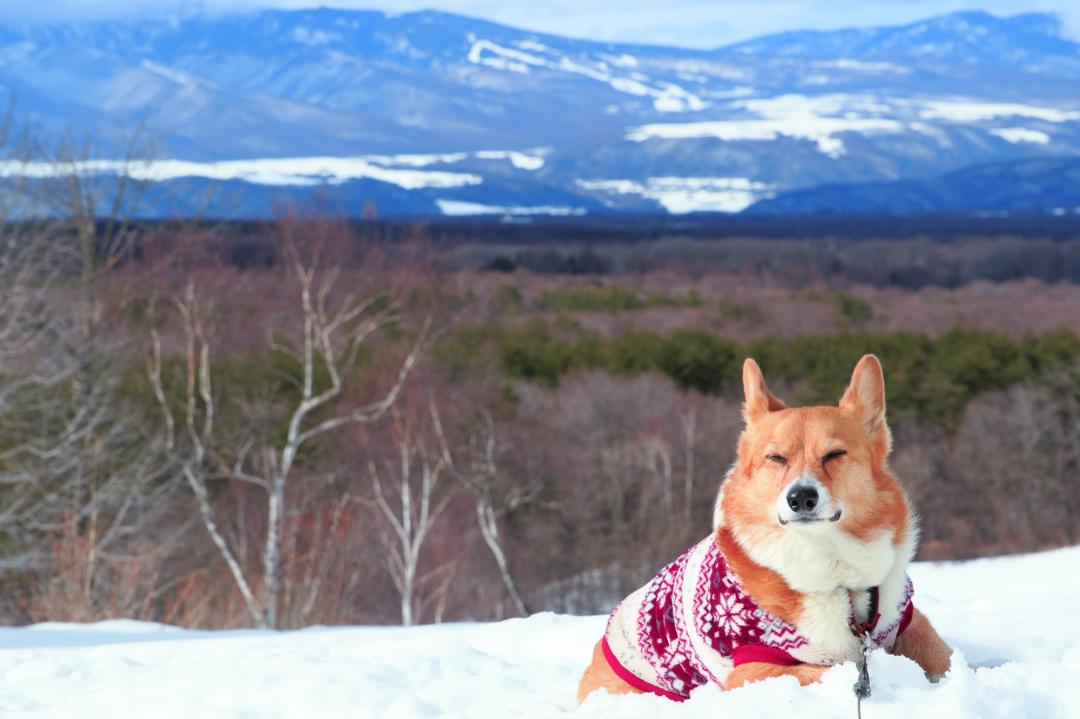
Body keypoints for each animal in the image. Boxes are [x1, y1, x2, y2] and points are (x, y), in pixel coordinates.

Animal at [578, 351, 950, 699]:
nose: (801, 498)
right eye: (776, 458)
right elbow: (828, 669)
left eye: (835, 455)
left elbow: (943, 658)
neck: (833, 566)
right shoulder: (753, 667)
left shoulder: (908, 622)